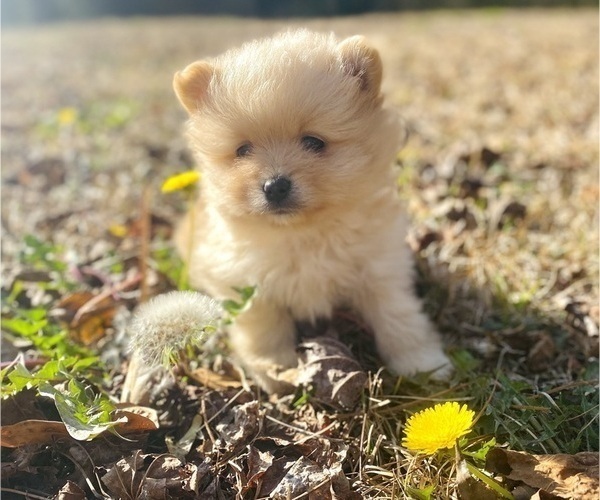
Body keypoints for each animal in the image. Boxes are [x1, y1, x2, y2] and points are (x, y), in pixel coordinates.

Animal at [171, 29, 448, 392]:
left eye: (314, 142)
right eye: (243, 150)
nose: (275, 185)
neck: (303, 233)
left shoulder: (380, 266)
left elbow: (398, 314)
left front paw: (422, 363)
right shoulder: (244, 282)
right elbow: (264, 326)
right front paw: (275, 369)